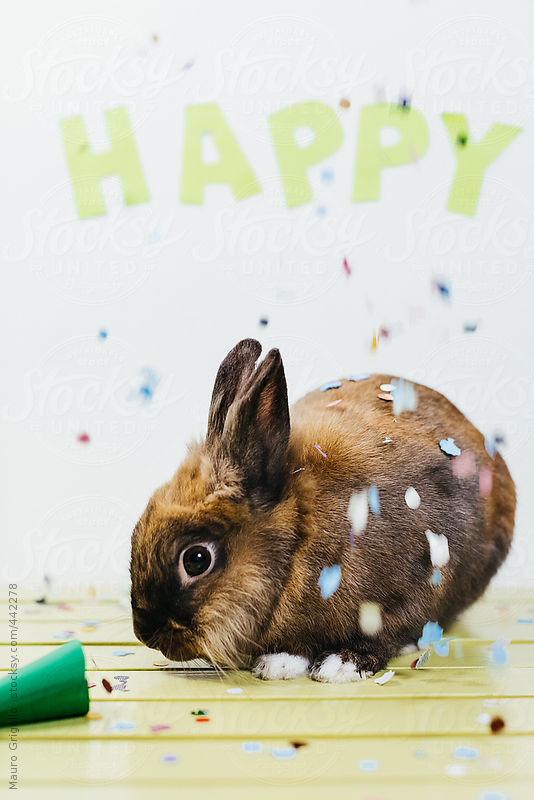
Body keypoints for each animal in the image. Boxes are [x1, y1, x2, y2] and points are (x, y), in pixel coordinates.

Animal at [130, 338, 515, 682]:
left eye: (196, 560)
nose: (145, 633)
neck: (300, 537)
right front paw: (280, 663)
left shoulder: (415, 586)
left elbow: (385, 633)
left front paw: (341, 665)